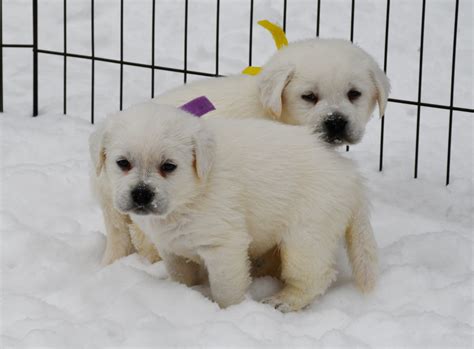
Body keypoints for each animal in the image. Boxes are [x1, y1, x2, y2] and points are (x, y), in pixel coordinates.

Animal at [90, 102, 378, 310]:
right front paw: (184, 292)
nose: (141, 194)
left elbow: (226, 290)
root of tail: (352, 175)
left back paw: (285, 300)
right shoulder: (172, 248)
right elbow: (181, 275)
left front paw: (230, 312)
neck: (192, 193)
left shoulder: (224, 247)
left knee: (315, 276)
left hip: (306, 236)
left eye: (169, 166)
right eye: (123, 163)